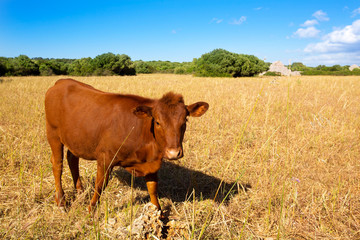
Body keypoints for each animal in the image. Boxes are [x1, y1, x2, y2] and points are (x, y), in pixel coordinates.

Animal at [45, 78, 208, 210]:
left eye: (185, 121)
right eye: (157, 122)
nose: (174, 153)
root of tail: (62, 82)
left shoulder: (151, 163)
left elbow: (153, 188)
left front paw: (159, 214)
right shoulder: (105, 158)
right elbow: (100, 185)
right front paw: (91, 211)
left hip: (76, 139)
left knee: (72, 159)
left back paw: (80, 192)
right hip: (53, 134)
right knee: (57, 165)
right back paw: (61, 202)